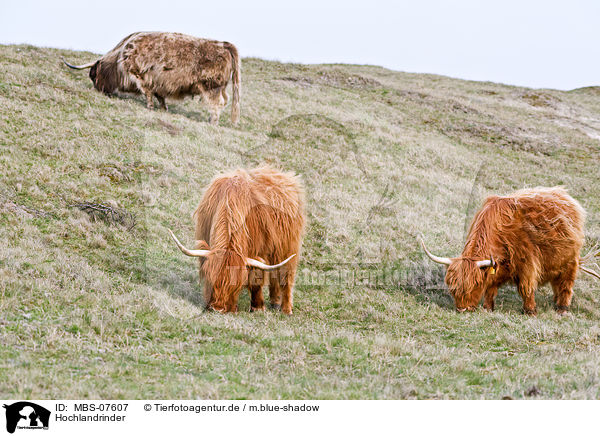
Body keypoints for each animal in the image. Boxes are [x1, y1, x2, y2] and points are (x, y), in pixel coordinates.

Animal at [61, 31, 239, 123]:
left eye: (93, 75)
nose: (99, 90)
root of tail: (224, 44)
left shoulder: (140, 75)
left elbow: (147, 93)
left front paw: (150, 107)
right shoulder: (158, 83)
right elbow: (159, 96)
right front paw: (163, 108)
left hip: (211, 87)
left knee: (217, 103)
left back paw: (212, 121)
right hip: (221, 88)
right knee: (225, 100)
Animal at [168, 167, 304, 314]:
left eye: (234, 286)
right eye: (210, 280)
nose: (217, 308)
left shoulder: (258, 251)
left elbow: (256, 278)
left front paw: (258, 307)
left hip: (288, 247)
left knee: (286, 275)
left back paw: (286, 309)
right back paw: (275, 303)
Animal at [422, 186, 600, 314]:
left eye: (475, 284)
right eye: (453, 287)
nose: (462, 309)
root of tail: (564, 195)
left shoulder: (528, 263)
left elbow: (526, 288)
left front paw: (530, 311)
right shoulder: (497, 266)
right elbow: (491, 288)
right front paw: (488, 308)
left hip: (569, 262)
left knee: (565, 285)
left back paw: (562, 309)